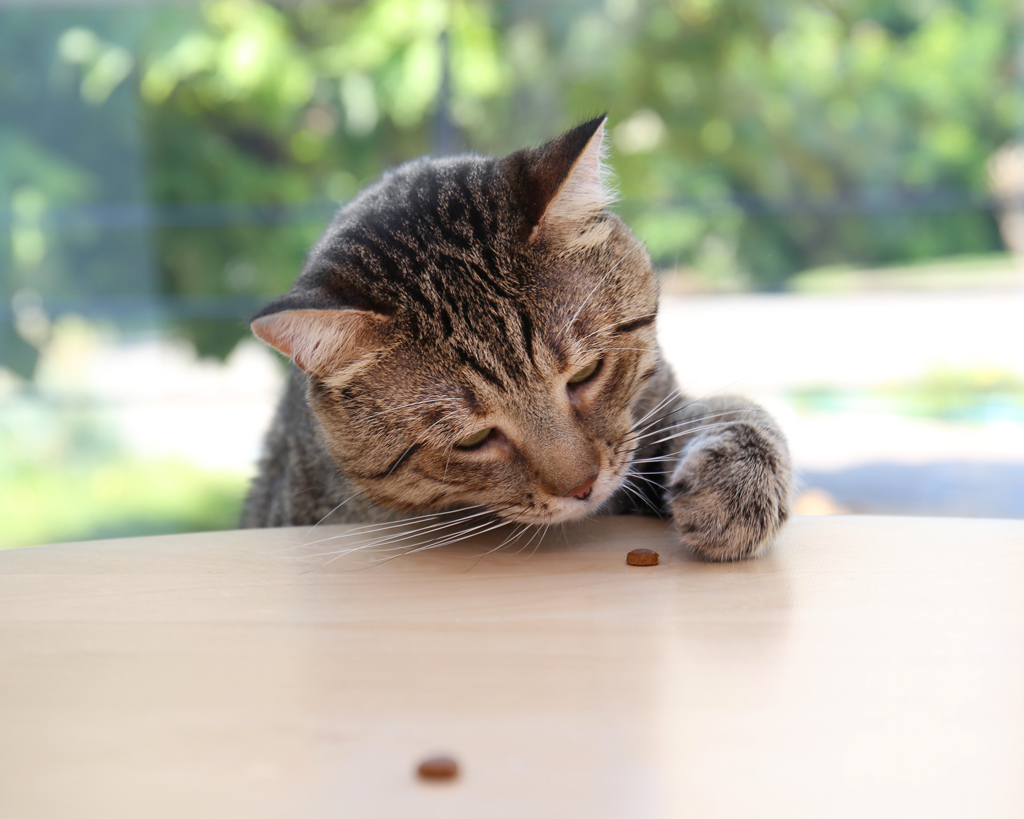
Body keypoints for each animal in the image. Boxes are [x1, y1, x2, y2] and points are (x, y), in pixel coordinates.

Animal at [239, 115, 790, 561]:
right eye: (473, 440)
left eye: (586, 372)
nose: (584, 487)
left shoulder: (658, 404)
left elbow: (733, 409)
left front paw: (739, 484)